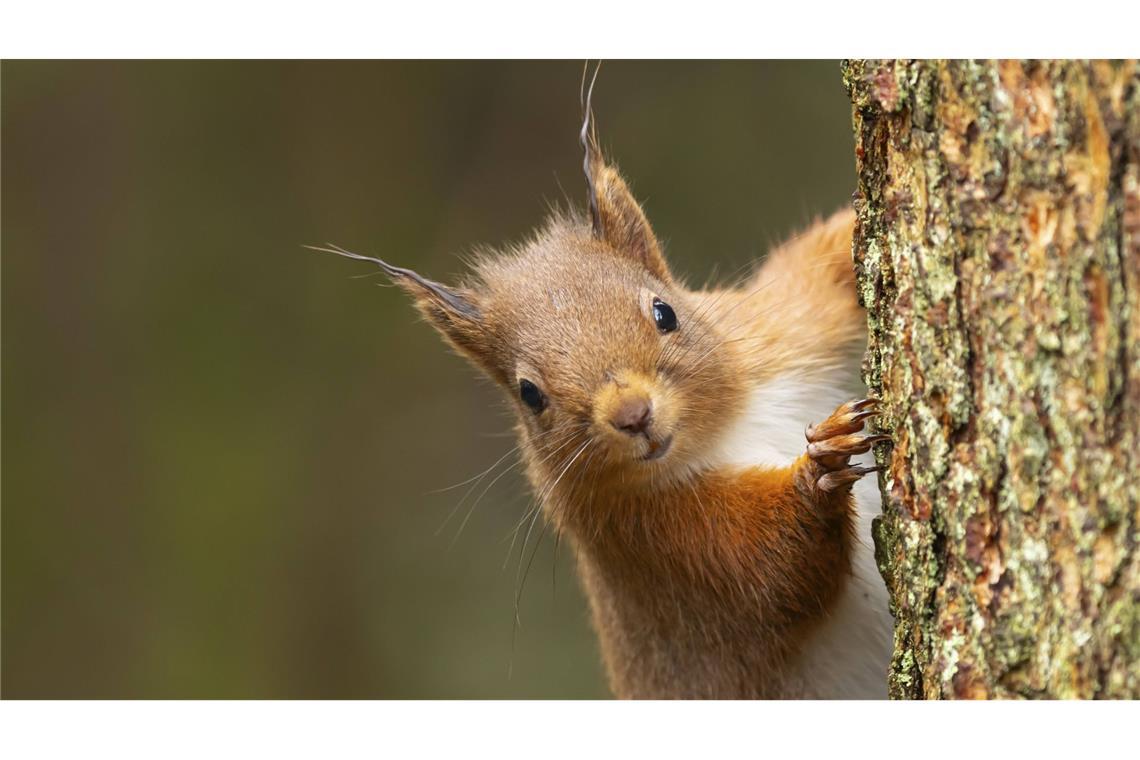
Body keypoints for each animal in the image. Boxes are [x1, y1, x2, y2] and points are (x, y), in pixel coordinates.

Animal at [316, 78, 893, 701]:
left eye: (665, 312)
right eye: (529, 394)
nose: (632, 414)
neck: (721, 429)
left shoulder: (782, 325)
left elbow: (828, 266)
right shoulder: (649, 540)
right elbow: (775, 572)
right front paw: (822, 466)